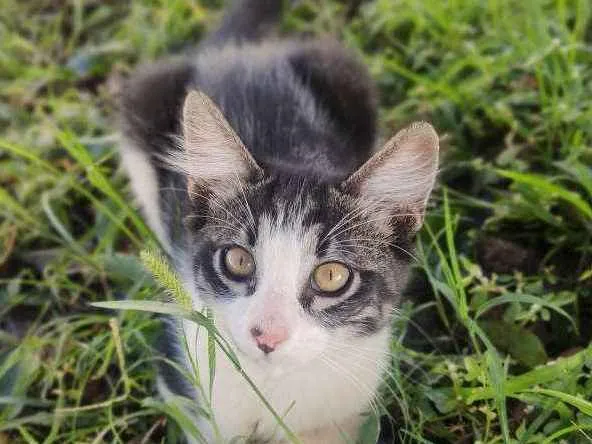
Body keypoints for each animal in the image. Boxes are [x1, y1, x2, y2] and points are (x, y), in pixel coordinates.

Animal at [117, 0, 440, 442]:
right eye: (237, 260)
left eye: (332, 276)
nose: (267, 335)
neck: (273, 386)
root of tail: (243, 52)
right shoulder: (189, 385)